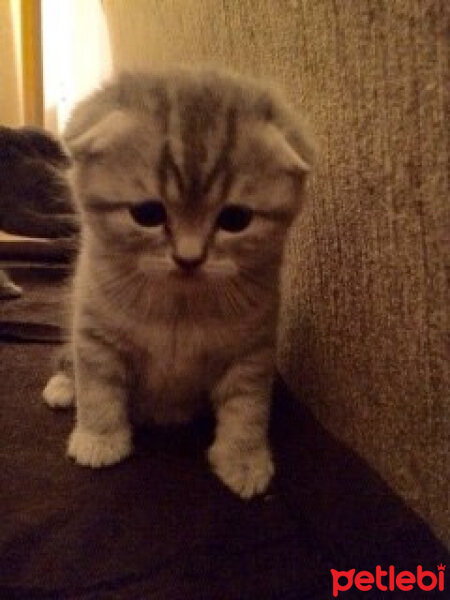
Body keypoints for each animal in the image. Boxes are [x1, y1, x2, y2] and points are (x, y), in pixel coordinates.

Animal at [44, 68, 314, 500]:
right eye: (147, 214)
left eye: (235, 219)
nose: (189, 258)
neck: (179, 307)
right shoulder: (93, 331)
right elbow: (98, 387)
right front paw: (99, 439)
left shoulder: (252, 352)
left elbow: (248, 408)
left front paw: (243, 459)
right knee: (71, 361)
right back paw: (63, 386)